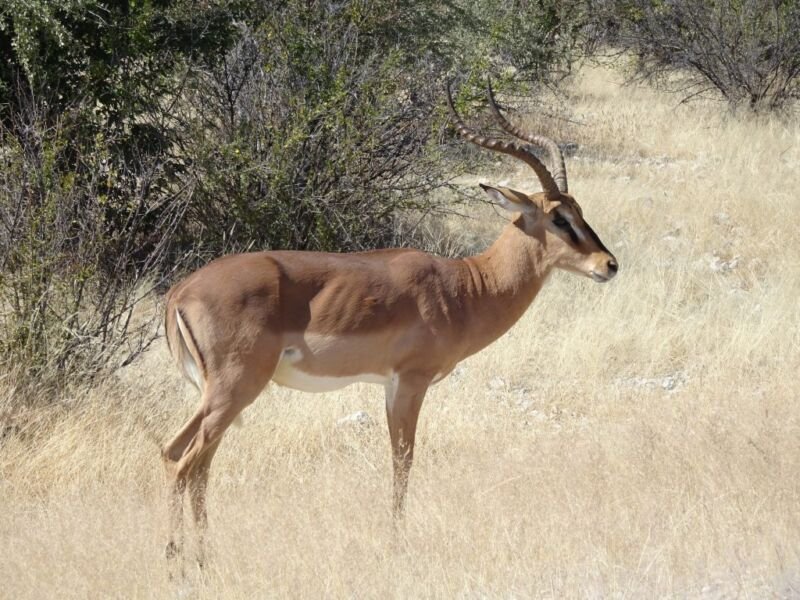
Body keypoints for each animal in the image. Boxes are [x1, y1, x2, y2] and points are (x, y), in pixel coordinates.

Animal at [161, 81, 618, 569]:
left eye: (579, 210)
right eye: (558, 218)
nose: (609, 265)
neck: (464, 287)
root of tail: (181, 292)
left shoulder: (387, 385)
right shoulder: (411, 381)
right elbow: (404, 459)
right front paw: (396, 541)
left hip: (218, 396)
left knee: (186, 458)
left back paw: (201, 556)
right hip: (234, 389)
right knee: (185, 462)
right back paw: (176, 561)